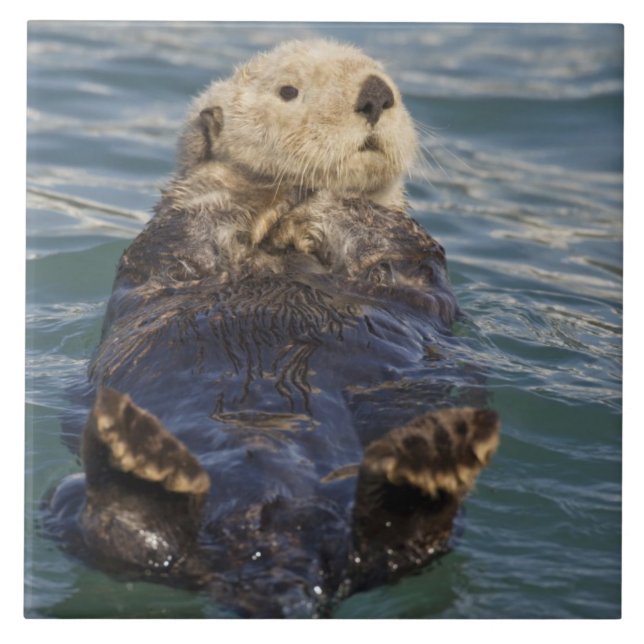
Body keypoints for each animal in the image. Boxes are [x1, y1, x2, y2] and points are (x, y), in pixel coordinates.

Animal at [44, 39, 500, 618]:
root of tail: (277, 548)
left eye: (389, 80)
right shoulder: (168, 249)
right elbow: (192, 229)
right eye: (289, 90)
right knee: (124, 540)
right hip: (64, 499)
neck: (278, 246)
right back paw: (136, 461)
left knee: (399, 547)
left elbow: (391, 252)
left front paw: (328, 200)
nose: (376, 94)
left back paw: (429, 465)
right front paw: (251, 189)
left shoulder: (412, 260)